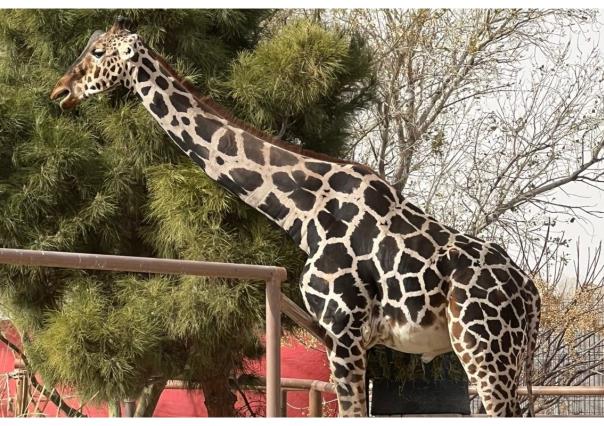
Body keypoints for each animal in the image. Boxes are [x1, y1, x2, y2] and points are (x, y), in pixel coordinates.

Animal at [52, 19, 540, 416]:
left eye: (99, 53)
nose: (59, 92)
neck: (303, 212)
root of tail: (532, 297)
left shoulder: (345, 331)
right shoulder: (338, 337)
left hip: (483, 350)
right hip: (507, 357)